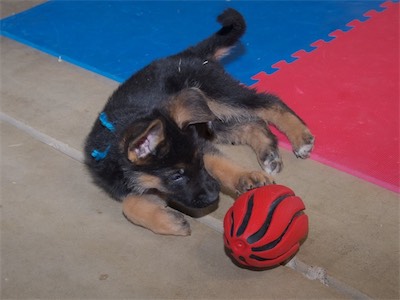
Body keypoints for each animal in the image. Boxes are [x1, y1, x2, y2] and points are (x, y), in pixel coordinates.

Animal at [85, 7, 316, 237]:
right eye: (176, 176)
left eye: (198, 162)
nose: (214, 197)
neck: (115, 135)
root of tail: (190, 54)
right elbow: (129, 204)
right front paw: (168, 222)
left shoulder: (202, 147)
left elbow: (220, 163)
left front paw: (244, 177)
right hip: (211, 120)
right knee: (253, 123)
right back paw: (269, 153)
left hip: (218, 95)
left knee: (269, 102)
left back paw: (300, 138)